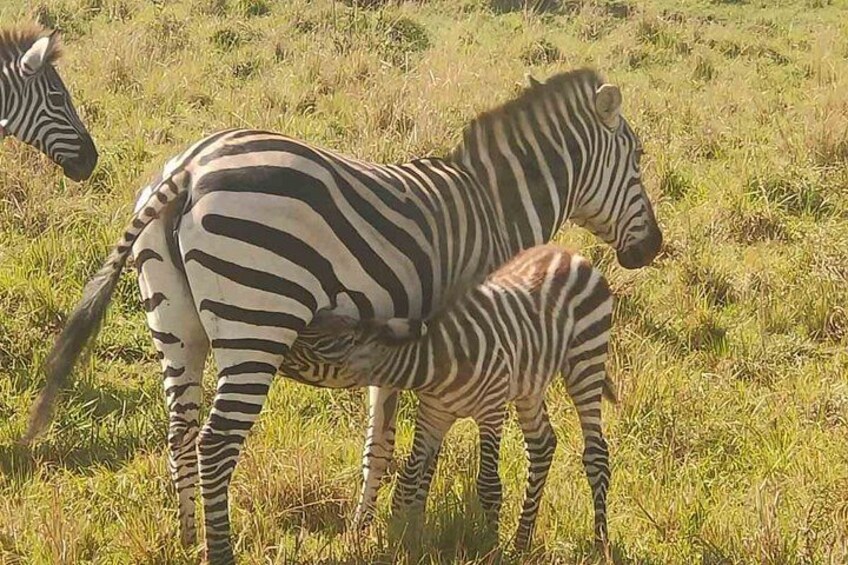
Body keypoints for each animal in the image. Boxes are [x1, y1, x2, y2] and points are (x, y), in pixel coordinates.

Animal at [292, 243, 617, 550]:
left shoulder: (491, 411)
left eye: (322, 343)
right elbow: (408, 479)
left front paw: (491, 547)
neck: (437, 363)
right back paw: (522, 542)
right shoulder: (432, 415)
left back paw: (600, 542)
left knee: (596, 452)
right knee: (542, 444)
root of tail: (572, 254)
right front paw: (404, 541)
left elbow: (489, 485)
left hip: (586, 357)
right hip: (530, 382)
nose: (290, 337)